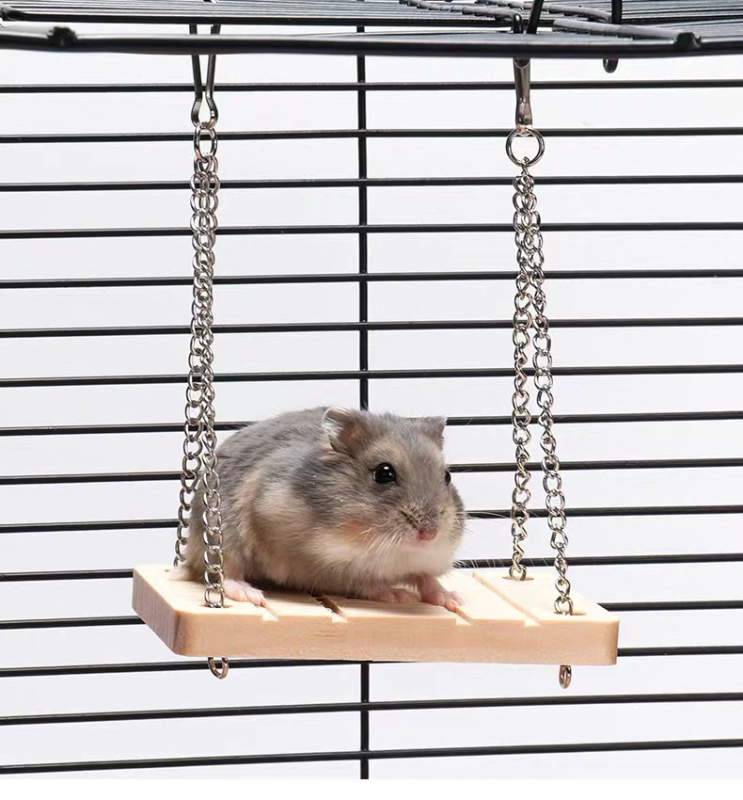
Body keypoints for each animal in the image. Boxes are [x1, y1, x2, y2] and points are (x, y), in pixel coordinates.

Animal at [182, 407, 465, 610]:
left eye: (447, 476)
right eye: (384, 473)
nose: (429, 534)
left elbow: (427, 578)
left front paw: (454, 600)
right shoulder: (320, 566)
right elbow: (367, 583)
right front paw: (400, 596)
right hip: (221, 538)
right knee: (223, 572)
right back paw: (251, 594)